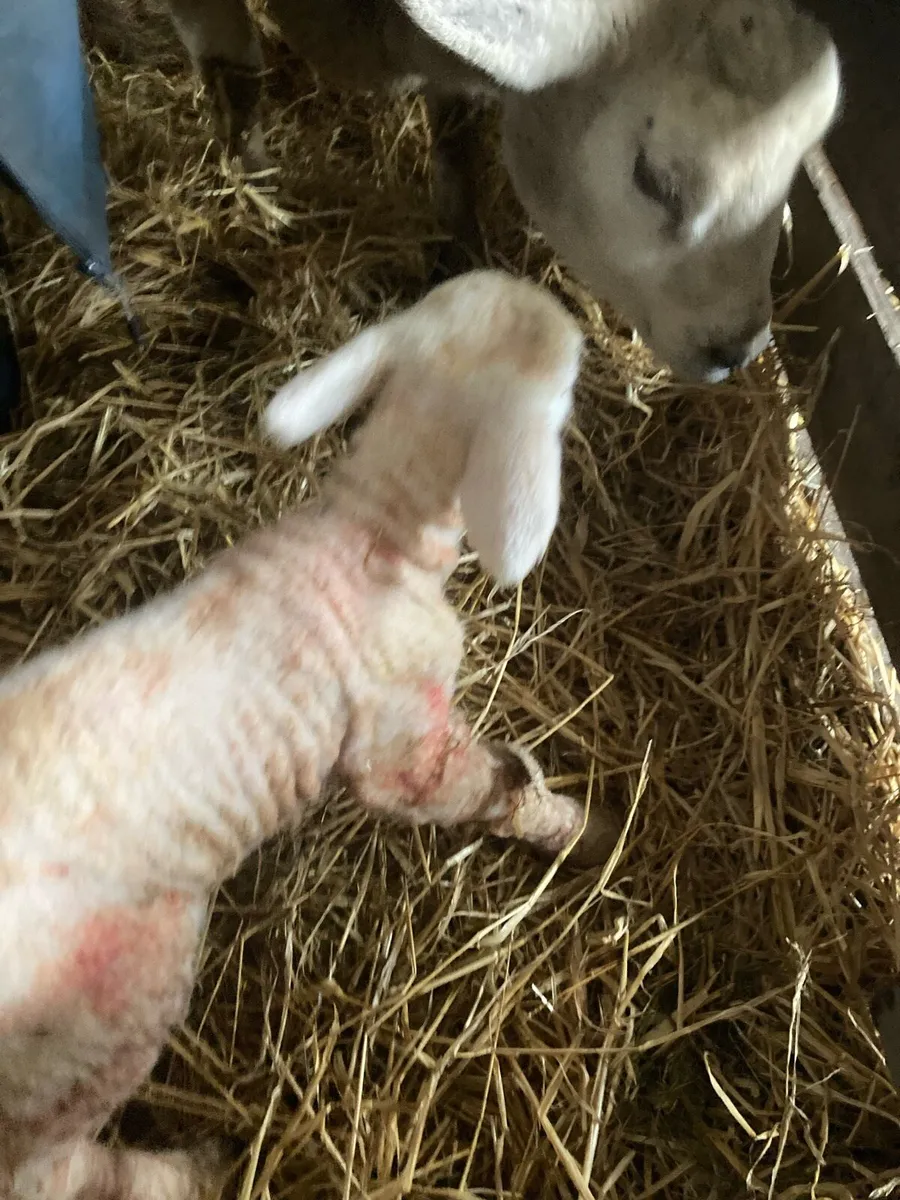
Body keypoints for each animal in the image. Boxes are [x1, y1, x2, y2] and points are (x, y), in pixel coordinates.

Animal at [0, 269, 618, 1200]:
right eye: (571, 388)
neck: (377, 526)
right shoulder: (403, 741)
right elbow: (471, 789)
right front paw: (575, 830)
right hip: (97, 1022)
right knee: (55, 1173)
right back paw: (197, 1166)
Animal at [79, 0, 842, 382]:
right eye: (653, 180)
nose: (738, 350)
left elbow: (454, 129)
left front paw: (459, 242)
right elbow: (233, 71)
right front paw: (261, 189)